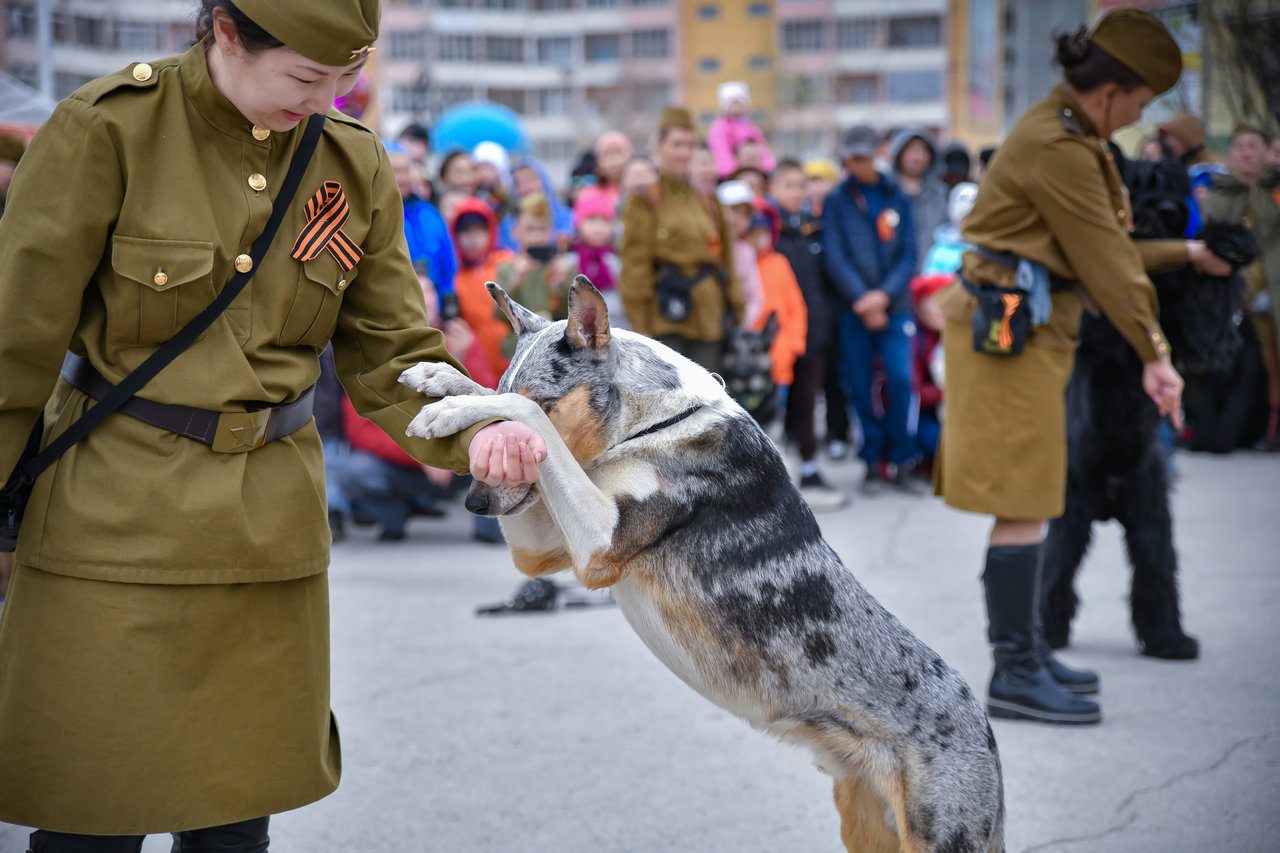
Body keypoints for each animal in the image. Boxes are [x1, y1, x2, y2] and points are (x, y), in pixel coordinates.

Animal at [404, 275, 1003, 845]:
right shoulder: (544, 549)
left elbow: (532, 421)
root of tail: (987, 733)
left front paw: (453, 405)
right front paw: (445, 381)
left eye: (552, 400)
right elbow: (521, 426)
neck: (653, 424)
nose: (476, 504)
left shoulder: (598, 549)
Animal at [1039, 153, 1259, 655]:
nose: (1167, 210)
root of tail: (1109, 499)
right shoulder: (1103, 319)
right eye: (1137, 186)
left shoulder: (1190, 325)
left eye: (1173, 187)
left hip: (1151, 514)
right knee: (1056, 566)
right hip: (1071, 512)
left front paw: (1229, 243)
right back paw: (1049, 632)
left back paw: (1169, 639)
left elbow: (1207, 311)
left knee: (1155, 572)